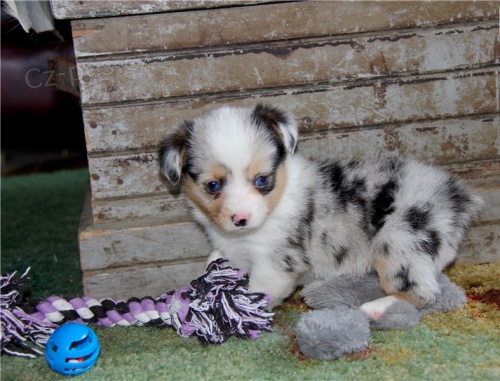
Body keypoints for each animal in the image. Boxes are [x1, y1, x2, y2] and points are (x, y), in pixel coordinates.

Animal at [159, 102, 480, 316]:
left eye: (262, 180)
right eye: (213, 186)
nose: (241, 219)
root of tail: (456, 196)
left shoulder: (277, 262)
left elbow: (257, 293)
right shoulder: (228, 246)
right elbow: (212, 260)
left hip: (400, 243)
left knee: (422, 292)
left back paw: (375, 309)